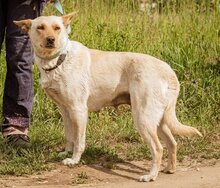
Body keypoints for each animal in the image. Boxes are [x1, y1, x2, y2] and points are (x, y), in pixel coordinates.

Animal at [14, 12, 201, 182]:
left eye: (56, 28)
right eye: (40, 27)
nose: (51, 40)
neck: (59, 60)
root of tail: (168, 70)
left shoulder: (78, 110)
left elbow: (79, 141)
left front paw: (74, 160)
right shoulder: (65, 111)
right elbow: (69, 135)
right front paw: (66, 152)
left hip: (143, 118)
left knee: (158, 148)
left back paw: (150, 176)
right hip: (158, 119)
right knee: (172, 142)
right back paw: (170, 169)